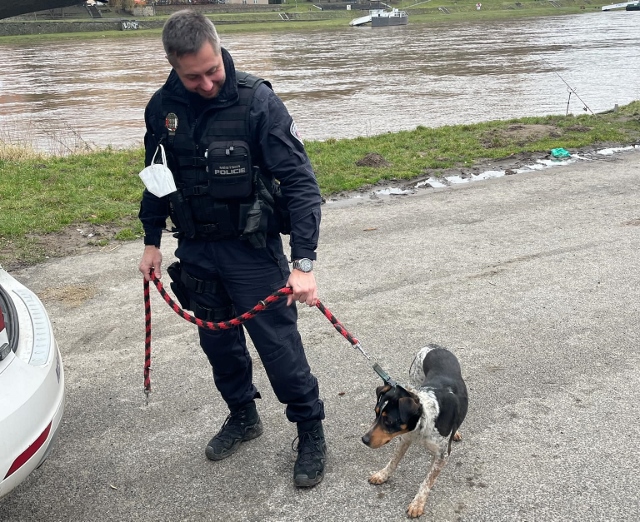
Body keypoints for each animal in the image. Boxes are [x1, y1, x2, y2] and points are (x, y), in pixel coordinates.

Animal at [362, 344, 468, 516]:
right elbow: (393, 461)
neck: (424, 419)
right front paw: (382, 475)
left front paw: (418, 503)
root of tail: (433, 346)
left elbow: (427, 482)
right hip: (413, 381)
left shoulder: (442, 456)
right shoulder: (404, 439)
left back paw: (455, 432)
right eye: (376, 413)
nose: (364, 440)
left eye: (389, 421)